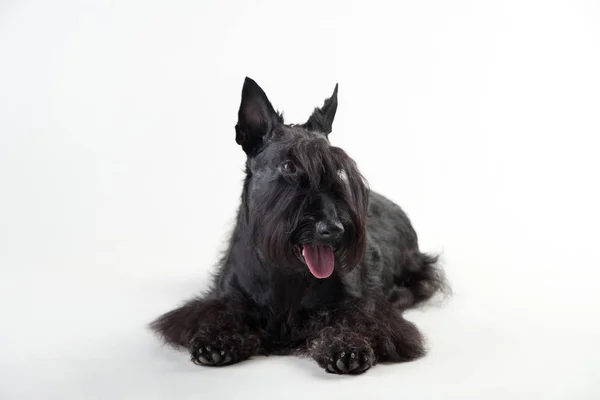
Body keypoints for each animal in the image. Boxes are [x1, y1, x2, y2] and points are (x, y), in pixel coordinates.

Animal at [152, 78, 448, 376]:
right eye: (288, 166)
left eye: (339, 170)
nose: (334, 229)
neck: (284, 270)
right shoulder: (226, 298)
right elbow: (219, 314)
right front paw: (217, 342)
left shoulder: (356, 304)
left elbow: (354, 320)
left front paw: (348, 348)